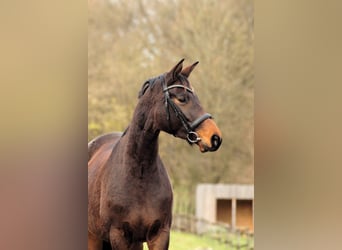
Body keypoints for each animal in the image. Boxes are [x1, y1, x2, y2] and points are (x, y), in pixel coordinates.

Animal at [87, 59, 222, 249]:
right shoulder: (119, 235)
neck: (139, 173)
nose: (215, 138)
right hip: (93, 237)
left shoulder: (159, 235)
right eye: (182, 99)